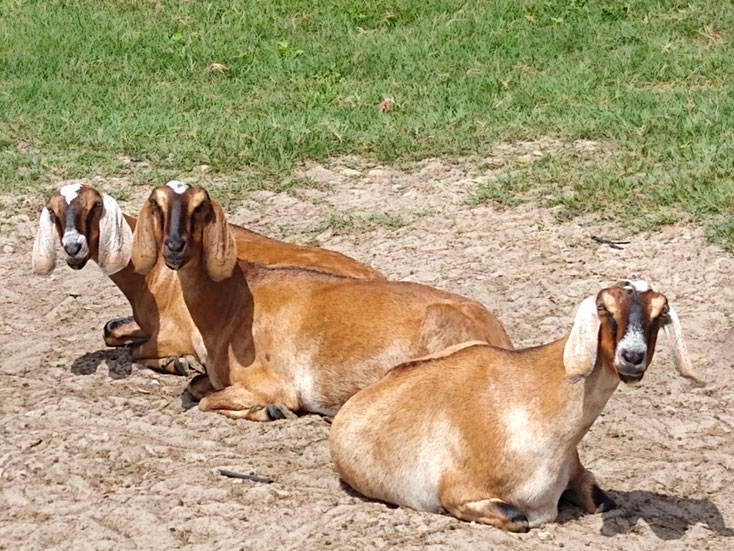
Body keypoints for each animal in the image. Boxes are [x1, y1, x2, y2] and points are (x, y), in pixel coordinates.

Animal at [130, 184, 513, 419]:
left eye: (200, 207)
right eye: (157, 203)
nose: (174, 246)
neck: (234, 303)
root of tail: (497, 334)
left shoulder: (272, 383)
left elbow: (208, 400)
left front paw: (273, 411)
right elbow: (196, 388)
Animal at [329, 281, 703, 532]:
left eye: (659, 313)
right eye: (605, 309)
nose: (632, 357)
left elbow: (604, 501)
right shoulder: (458, 494)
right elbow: (517, 518)